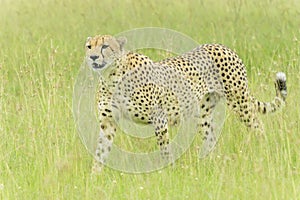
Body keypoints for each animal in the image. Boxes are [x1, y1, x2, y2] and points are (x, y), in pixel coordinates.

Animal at [84, 34, 286, 172]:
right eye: (89, 46)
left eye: (105, 46)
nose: (92, 57)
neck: (111, 76)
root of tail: (222, 46)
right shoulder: (108, 122)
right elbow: (101, 151)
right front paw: (95, 176)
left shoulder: (159, 118)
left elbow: (164, 148)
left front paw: (168, 171)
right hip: (204, 114)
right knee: (211, 137)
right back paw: (208, 162)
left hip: (239, 101)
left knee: (257, 125)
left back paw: (263, 151)